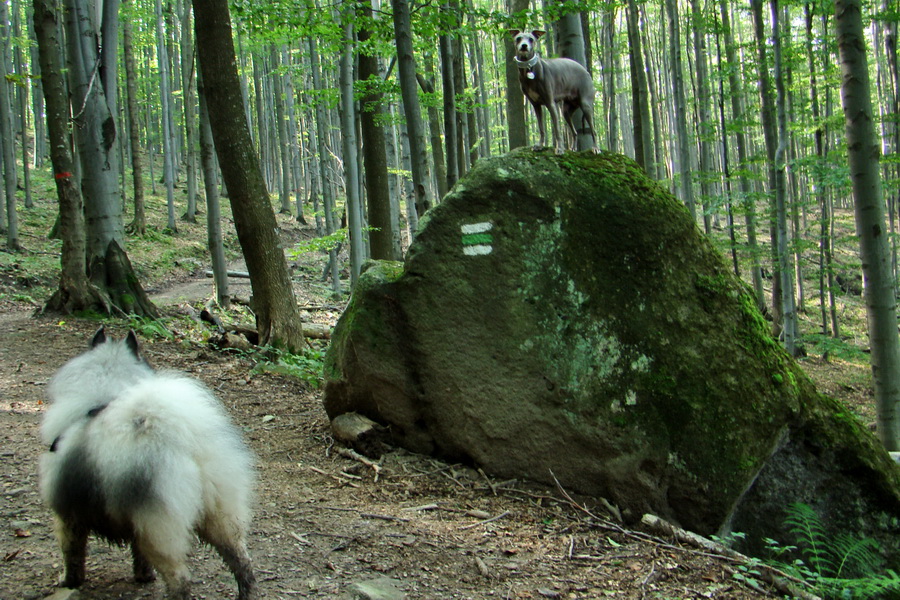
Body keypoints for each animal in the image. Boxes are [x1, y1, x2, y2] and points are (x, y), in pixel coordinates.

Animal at [42, 328, 260, 600]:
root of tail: (186, 446)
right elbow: (138, 558)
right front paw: (143, 576)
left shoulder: (68, 515)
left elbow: (72, 554)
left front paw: (70, 582)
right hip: (222, 516)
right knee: (243, 564)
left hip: (159, 530)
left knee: (181, 579)